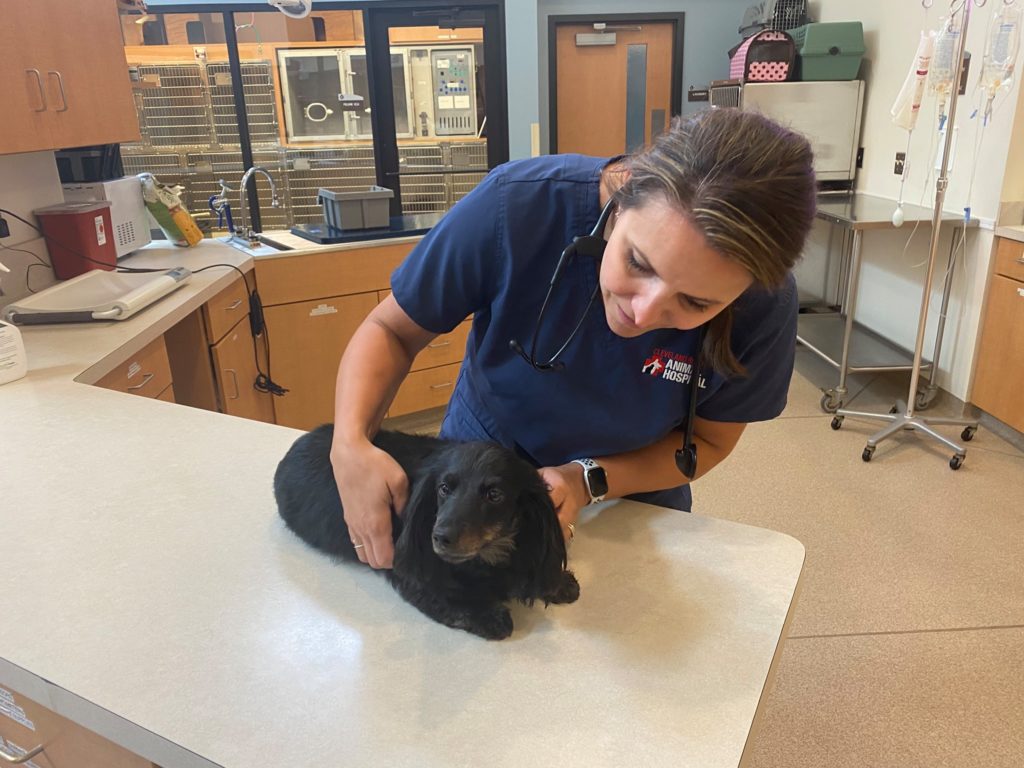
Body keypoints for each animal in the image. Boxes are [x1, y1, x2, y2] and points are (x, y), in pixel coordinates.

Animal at [272, 428, 581, 643]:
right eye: (444, 488)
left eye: (494, 494)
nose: (441, 537)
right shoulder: (410, 571)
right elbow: (446, 595)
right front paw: (487, 614)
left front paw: (557, 583)